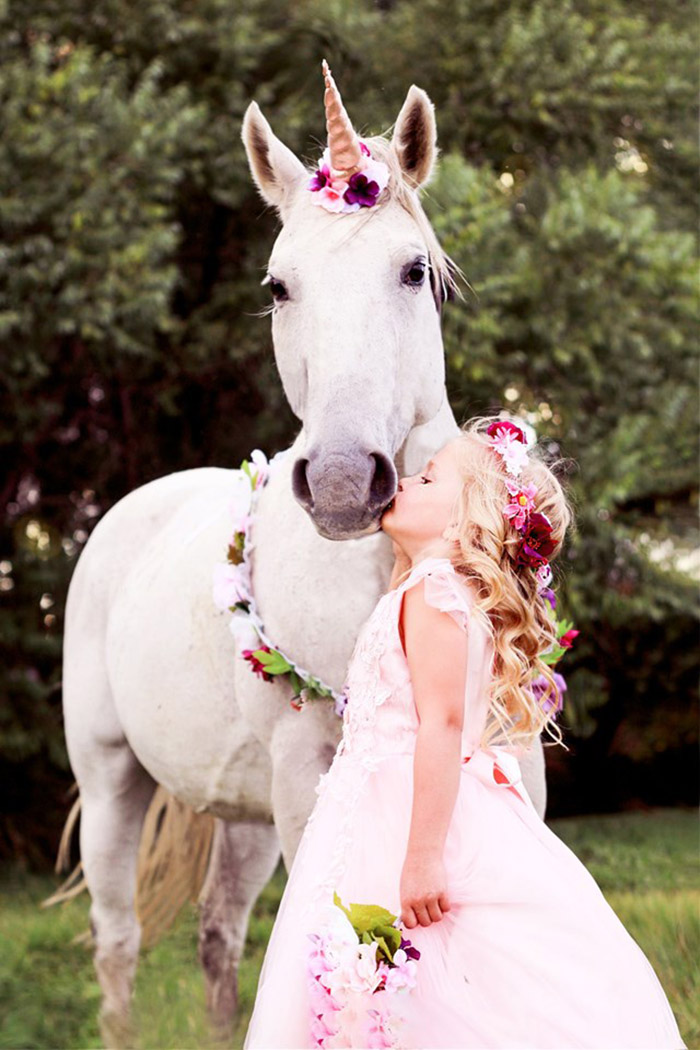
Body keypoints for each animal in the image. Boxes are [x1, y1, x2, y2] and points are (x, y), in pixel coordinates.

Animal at [61, 65, 545, 1041]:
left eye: (413, 271)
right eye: (280, 285)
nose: (343, 481)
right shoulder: (304, 783)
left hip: (242, 815)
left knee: (216, 933)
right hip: (111, 782)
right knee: (118, 942)